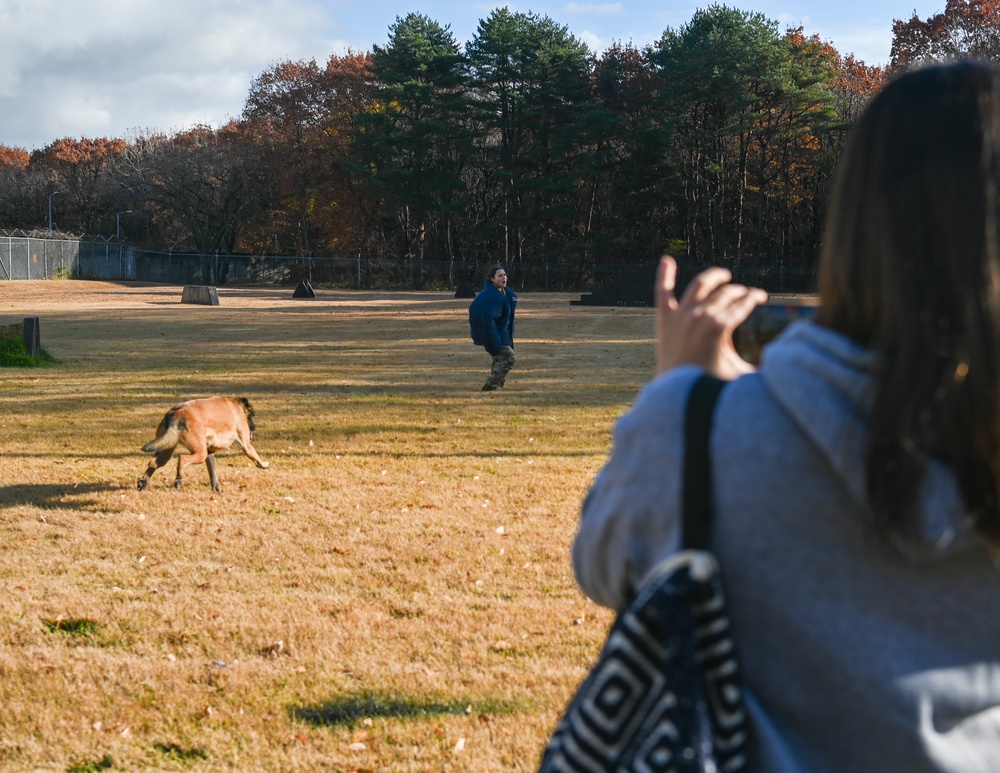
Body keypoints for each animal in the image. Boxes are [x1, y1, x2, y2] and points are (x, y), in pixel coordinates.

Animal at [138, 396, 270, 492]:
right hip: (200, 453)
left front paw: (216, 488)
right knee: (182, 458)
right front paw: (264, 464)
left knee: (153, 463)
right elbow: (255, 455)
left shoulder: (209, 453)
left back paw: (143, 483)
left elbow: (213, 473)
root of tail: (176, 414)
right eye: (252, 416)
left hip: (166, 451)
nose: (254, 427)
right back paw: (179, 479)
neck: (237, 405)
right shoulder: (246, 445)